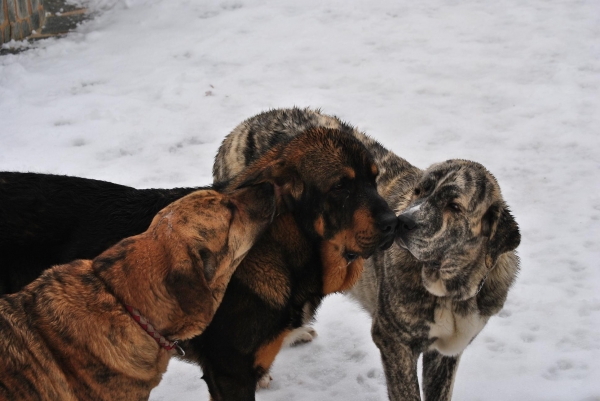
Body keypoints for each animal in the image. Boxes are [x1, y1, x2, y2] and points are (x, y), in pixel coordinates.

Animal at [216, 107, 520, 400]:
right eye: (419, 191)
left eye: (454, 206)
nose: (402, 222)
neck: (450, 286)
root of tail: (241, 128)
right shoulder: (393, 342)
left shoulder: (443, 354)